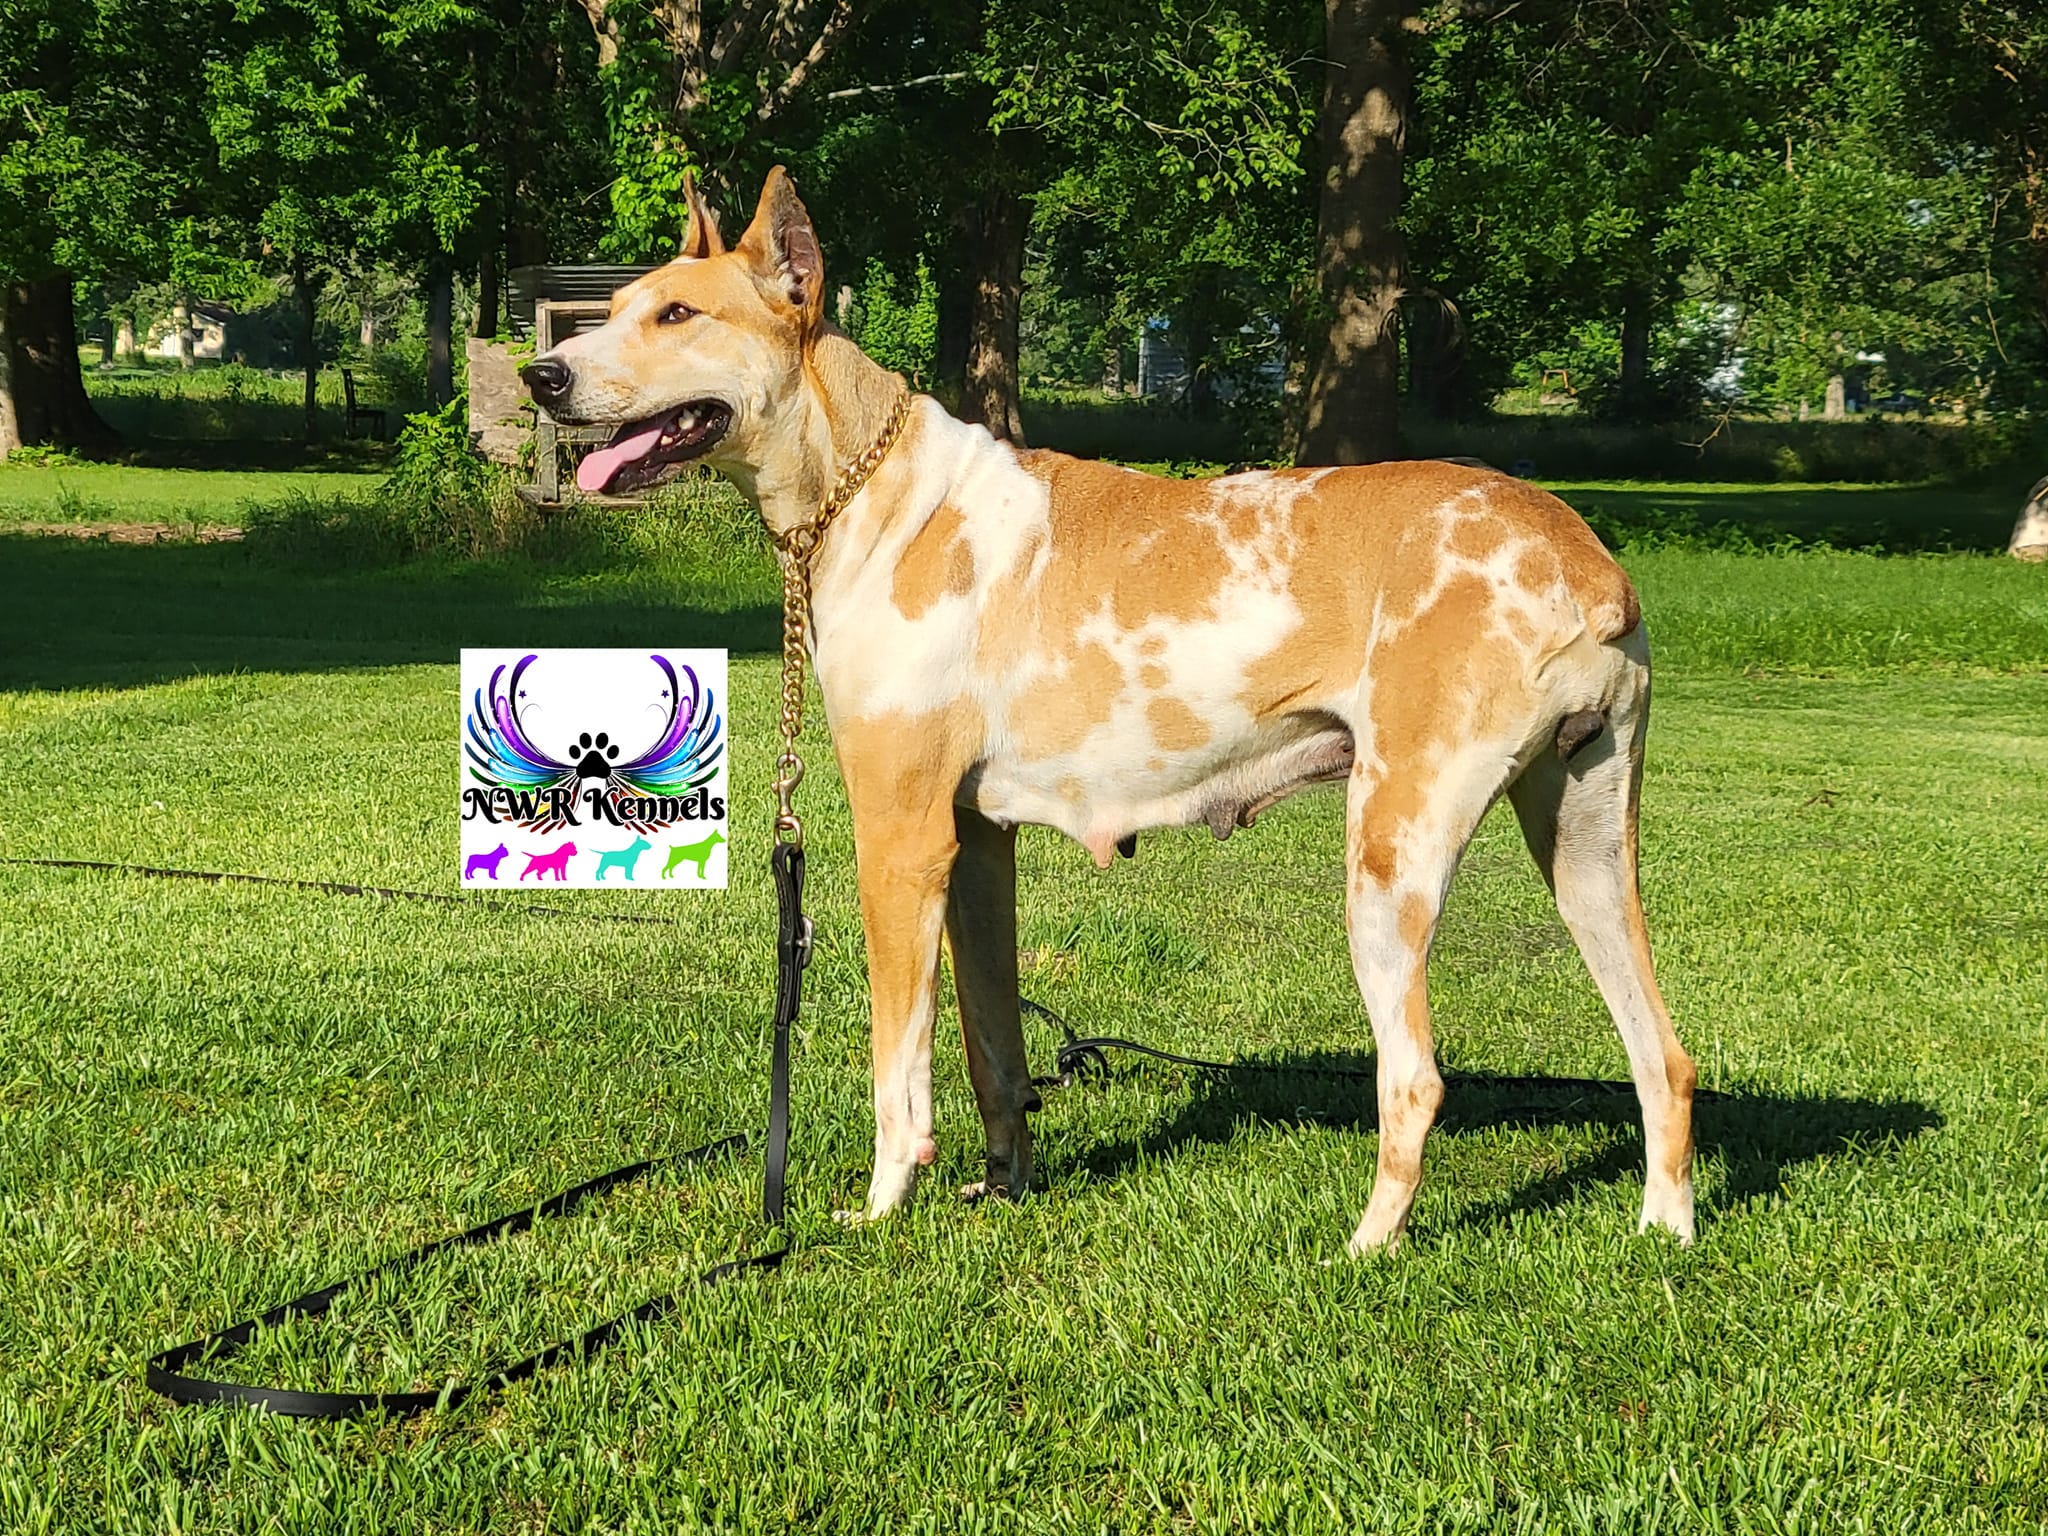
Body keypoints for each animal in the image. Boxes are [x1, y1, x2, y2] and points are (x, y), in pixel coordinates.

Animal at [521, 169, 1697, 1252]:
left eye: (678, 316)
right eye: (616, 305)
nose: (542, 372)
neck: (870, 491)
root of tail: (1586, 561)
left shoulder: (898, 839)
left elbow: (899, 1066)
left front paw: (881, 1208)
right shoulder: (973, 845)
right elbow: (991, 1047)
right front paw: (1002, 1189)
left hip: (1391, 856)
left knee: (1414, 1081)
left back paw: (1366, 1248)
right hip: (1586, 851)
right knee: (1663, 1055)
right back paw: (1664, 1231)